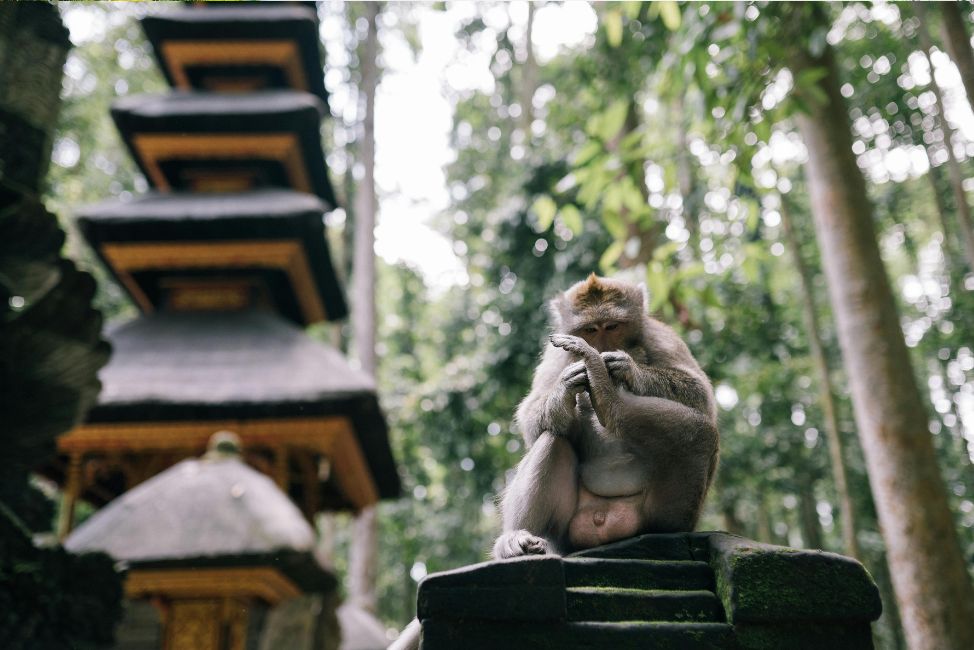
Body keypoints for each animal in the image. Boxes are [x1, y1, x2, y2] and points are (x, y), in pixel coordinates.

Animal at [492, 274, 719, 559]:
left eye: (612, 327)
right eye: (591, 330)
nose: (600, 347)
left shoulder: (660, 335)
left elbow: (699, 394)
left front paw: (626, 367)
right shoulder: (555, 353)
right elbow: (531, 418)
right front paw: (566, 386)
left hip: (662, 515)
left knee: (700, 434)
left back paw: (607, 396)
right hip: (564, 535)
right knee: (553, 440)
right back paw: (516, 539)